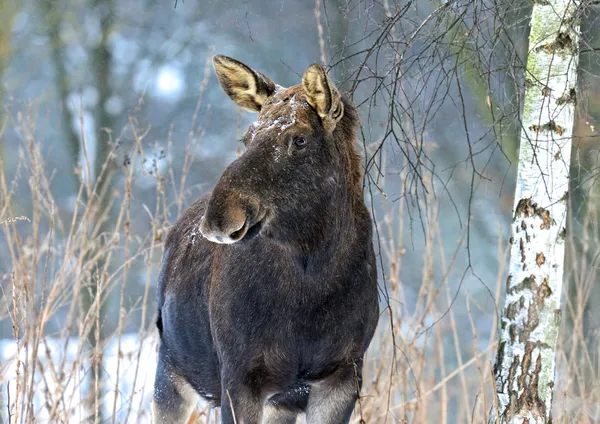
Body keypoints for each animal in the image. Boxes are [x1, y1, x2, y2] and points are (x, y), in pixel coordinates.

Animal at [155, 54, 380, 422]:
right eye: (247, 137)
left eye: (299, 139)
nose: (219, 216)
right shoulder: (239, 375)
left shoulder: (344, 373)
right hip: (170, 371)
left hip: (279, 401)